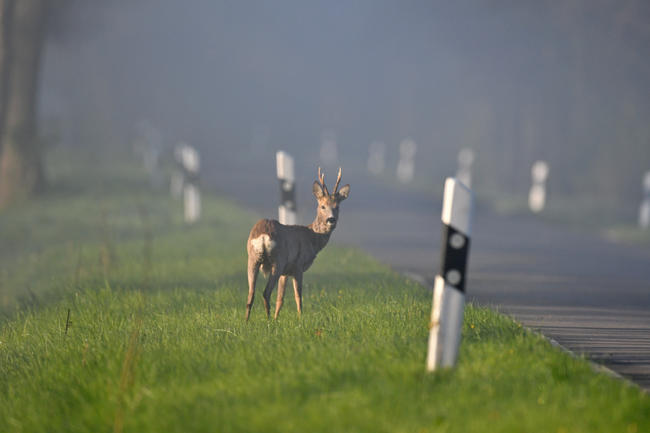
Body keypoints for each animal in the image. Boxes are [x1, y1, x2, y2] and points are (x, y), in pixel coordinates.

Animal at [246, 167, 350, 318]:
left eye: (337, 207)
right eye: (323, 206)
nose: (331, 220)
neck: (312, 237)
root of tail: (263, 235)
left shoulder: (286, 272)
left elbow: (280, 299)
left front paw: (277, 319)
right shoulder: (298, 266)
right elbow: (298, 296)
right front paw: (301, 318)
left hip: (253, 258)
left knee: (251, 294)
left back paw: (248, 321)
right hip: (278, 261)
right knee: (266, 293)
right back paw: (268, 320)